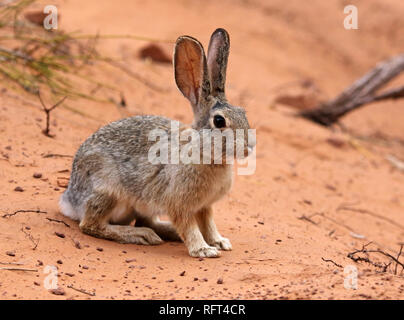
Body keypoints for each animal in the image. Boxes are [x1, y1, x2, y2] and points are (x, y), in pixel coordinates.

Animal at [59, 28, 256, 258]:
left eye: (243, 112)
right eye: (219, 121)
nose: (250, 146)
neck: (202, 151)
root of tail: (70, 200)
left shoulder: (204, 207)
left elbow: (208, 224)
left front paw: (220, 242)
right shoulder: (179, 204)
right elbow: (189, 227)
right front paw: (204, 250)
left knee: (145, 221)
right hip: (108, 191)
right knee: (91, 224)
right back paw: (141, 236)